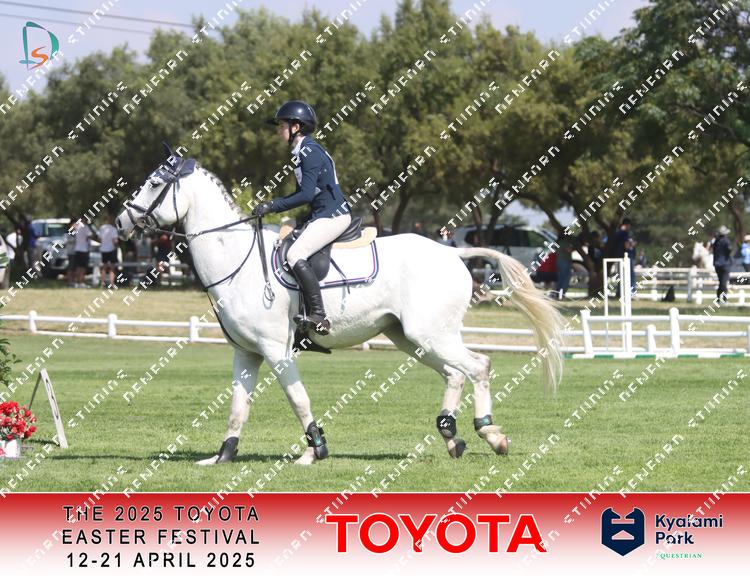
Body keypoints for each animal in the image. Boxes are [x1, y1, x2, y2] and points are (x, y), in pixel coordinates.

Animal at [115, 152, 564, 466]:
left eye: (153, 183)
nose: (121, 223)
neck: (235, 259)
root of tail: (454, 253)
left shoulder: (276, 349)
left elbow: (298, 399)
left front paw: (313, 450)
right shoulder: (246, 353)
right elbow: (238, 408)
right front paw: (223, 455)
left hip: (430, 334)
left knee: (479, 367)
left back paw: (491, 435)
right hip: (411, 337)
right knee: (456, 373)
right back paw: (451, 436)